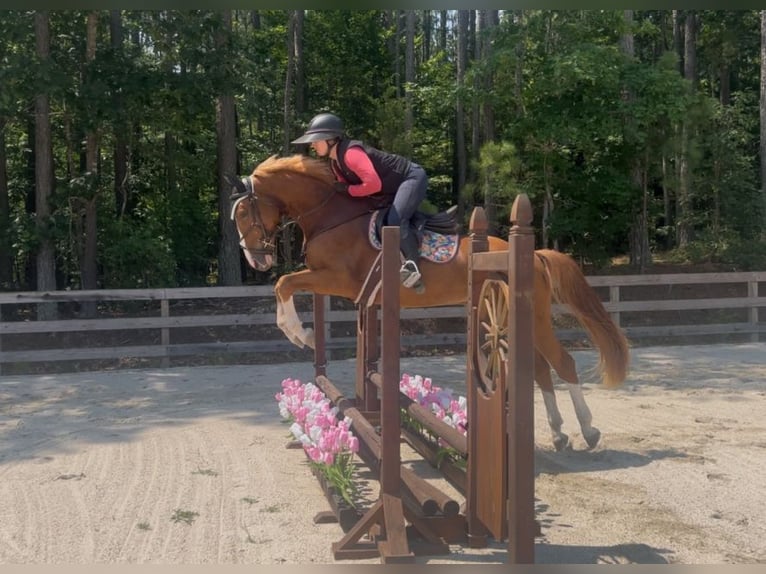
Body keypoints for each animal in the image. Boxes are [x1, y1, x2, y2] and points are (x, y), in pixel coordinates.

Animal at [229, 154, 630, 451]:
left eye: (245, 213)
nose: (256, 260)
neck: (332, 216)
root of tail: (536, 255)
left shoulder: (338, 280)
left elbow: (284, 283)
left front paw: (301, 335)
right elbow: (286, 284)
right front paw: (303, 334)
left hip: (531, 317)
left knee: (562, 363)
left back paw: (588, 431)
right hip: (515, 319)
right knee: (540, 368)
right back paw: (560, 433)